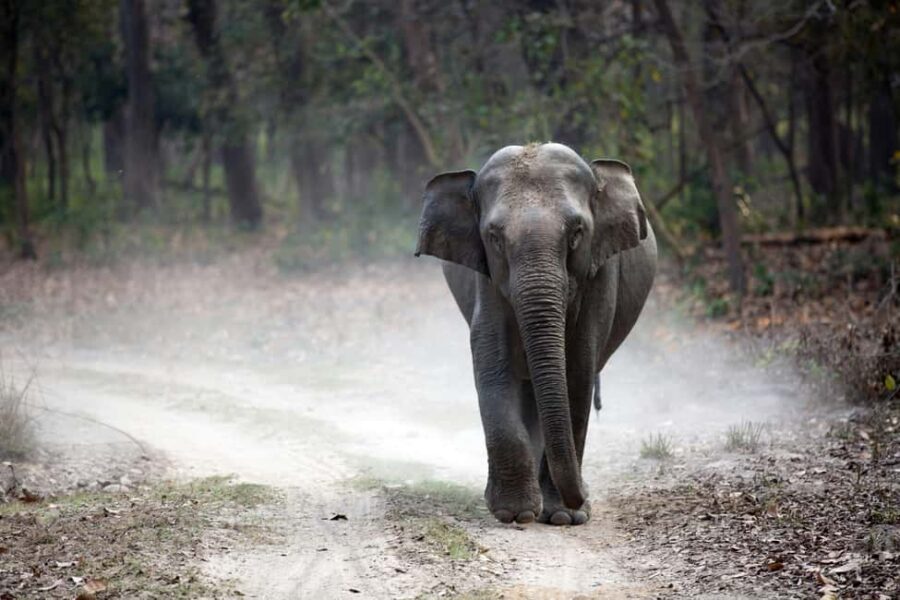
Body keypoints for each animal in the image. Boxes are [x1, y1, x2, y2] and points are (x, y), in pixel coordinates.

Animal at [415, 142, 657, 526]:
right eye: (494, 238)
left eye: (576, 233)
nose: (583, 496)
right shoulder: (487, 280)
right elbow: (493, 364)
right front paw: (515, 513)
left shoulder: (599, 275)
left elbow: (577, 371)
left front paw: (563, 517)